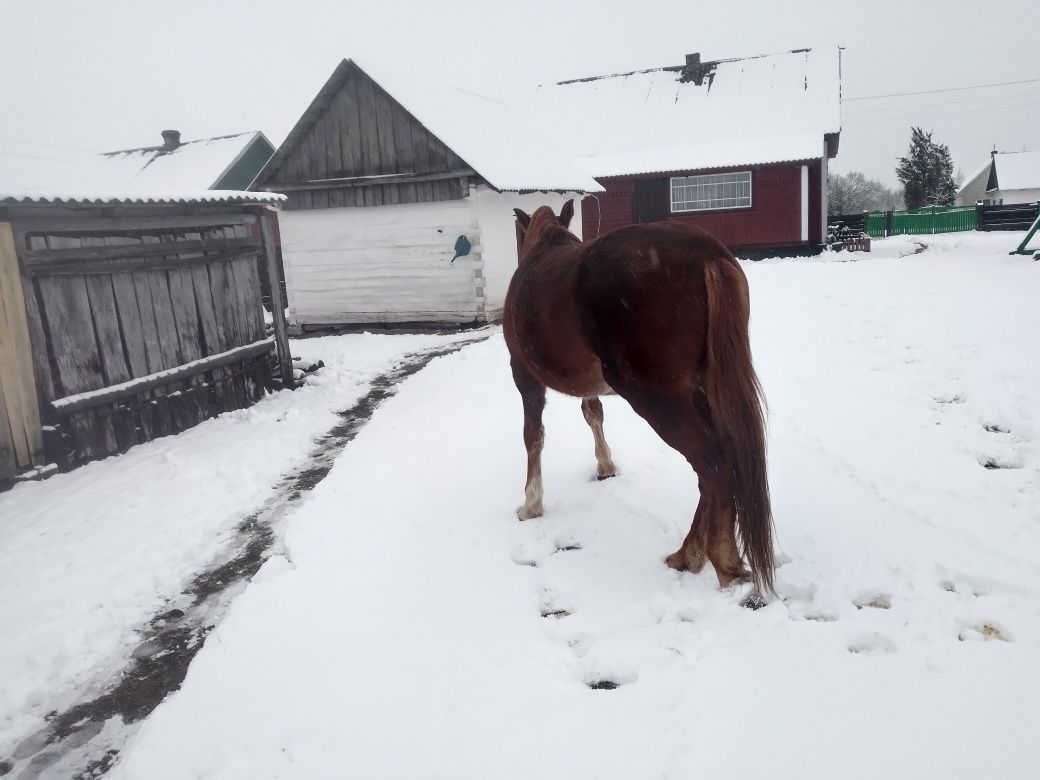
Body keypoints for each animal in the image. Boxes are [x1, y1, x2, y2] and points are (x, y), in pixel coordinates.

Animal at [503, 204, 773, 594]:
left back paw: (721, 561)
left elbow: (533, 437)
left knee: (714, 461)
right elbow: (593, 412)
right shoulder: (589, 385)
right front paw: (605, 465)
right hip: (698, 390)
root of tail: (708, 254)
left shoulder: (524, 376)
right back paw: (688, 553)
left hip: (659, 399)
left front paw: (531, 503)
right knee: (717, 463)